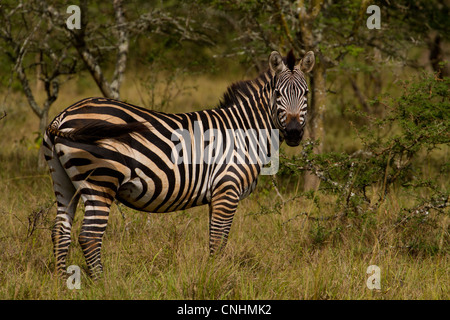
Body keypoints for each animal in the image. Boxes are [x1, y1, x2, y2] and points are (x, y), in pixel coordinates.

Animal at [44, 50, 314, 278]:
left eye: (306, 94)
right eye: (277, 94)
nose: (293, 133)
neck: (243, 131)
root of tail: (63, 116)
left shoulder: (217, 194)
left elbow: (214, 238)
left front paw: (212, 275)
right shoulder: (227, 189)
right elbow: (218, 240)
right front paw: (214, 277)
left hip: (63, 181)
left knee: (60, 231)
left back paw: (61, 282)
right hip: (100, 181)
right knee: (89, 236)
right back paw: (102, 284)